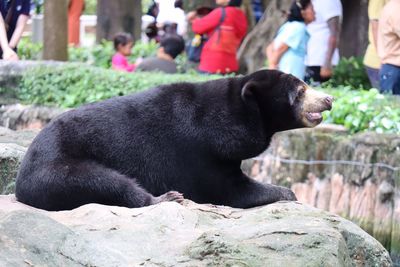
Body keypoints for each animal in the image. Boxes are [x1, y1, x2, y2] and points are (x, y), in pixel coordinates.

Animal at [15, 70, 332, 211]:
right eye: (300, 92)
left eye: (305, 85)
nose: (328, 99)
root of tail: (20, 184)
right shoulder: (202, 150)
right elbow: (227, 190)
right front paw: (287, 192)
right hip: (58, 169)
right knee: (105, 182)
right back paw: (165, 197)